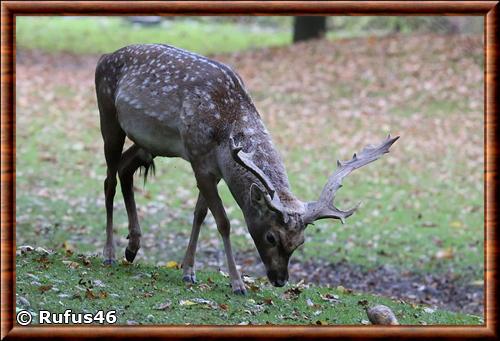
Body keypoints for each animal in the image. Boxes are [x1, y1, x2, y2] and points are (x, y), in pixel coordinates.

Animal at [94, 43, 398, 294]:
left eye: (300, 242)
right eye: (271, 236)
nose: (280, 280)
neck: (226, 125)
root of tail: (104, 57)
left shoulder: (214, 169)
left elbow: (199, 215)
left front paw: (188, 270)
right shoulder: (198, 158)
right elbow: (223, 222)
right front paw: (237, 283)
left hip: (148, 143)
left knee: (125, 169)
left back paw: (132, 248)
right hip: (108, 115)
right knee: (108, 180)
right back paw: (109, 253)